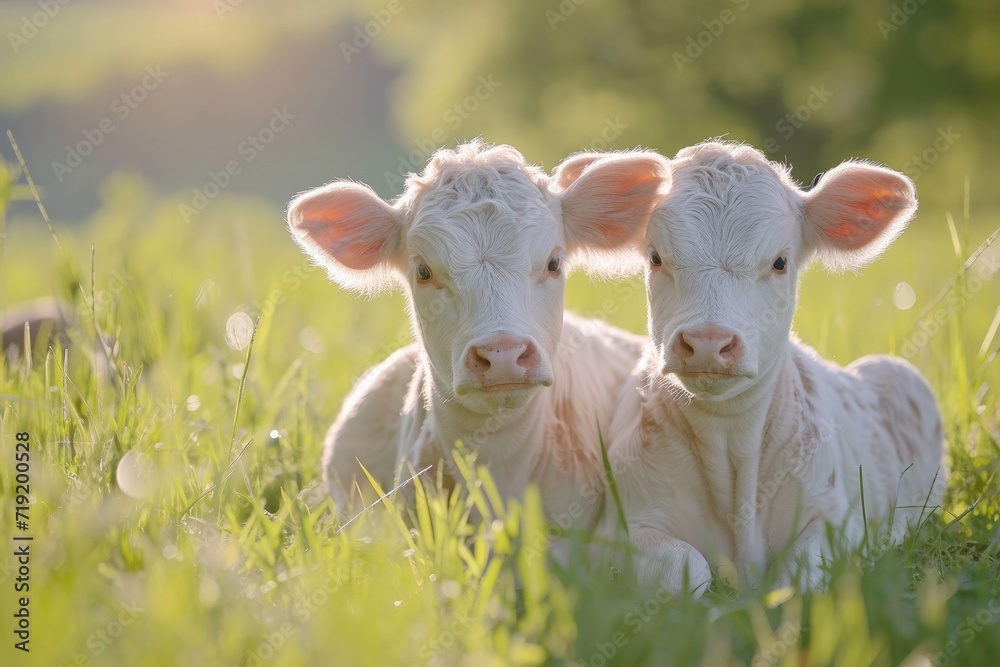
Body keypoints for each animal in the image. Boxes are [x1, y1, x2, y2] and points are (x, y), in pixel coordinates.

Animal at [604, 141, 945, 594]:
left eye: (780, 262)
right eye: (656, 257)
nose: (708, 342)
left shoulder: (838, 520)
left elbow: (796, 577)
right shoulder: (620, 529)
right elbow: (687, 568)